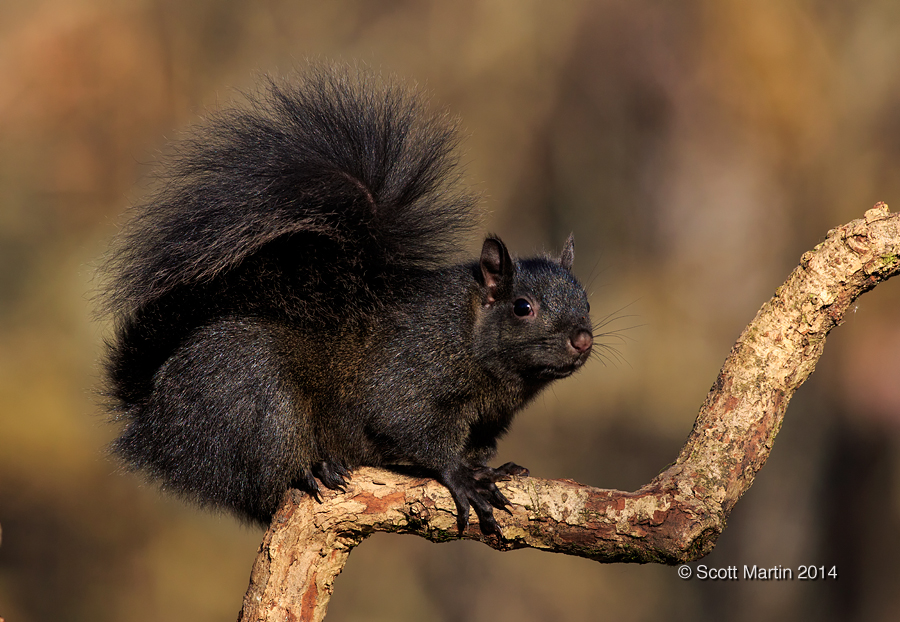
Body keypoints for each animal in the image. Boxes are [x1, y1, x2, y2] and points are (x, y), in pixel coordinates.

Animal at [102, 67, 596, 536]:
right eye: (523, 307)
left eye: (586, 301)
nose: (583, 340)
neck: (471, 334)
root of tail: (150, 419)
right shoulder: (414, 365)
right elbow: (407, 422)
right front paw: (462, 475)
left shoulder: (487, 421)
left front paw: (494, 466)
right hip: (253, 399)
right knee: (262, 477)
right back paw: (313, 469)